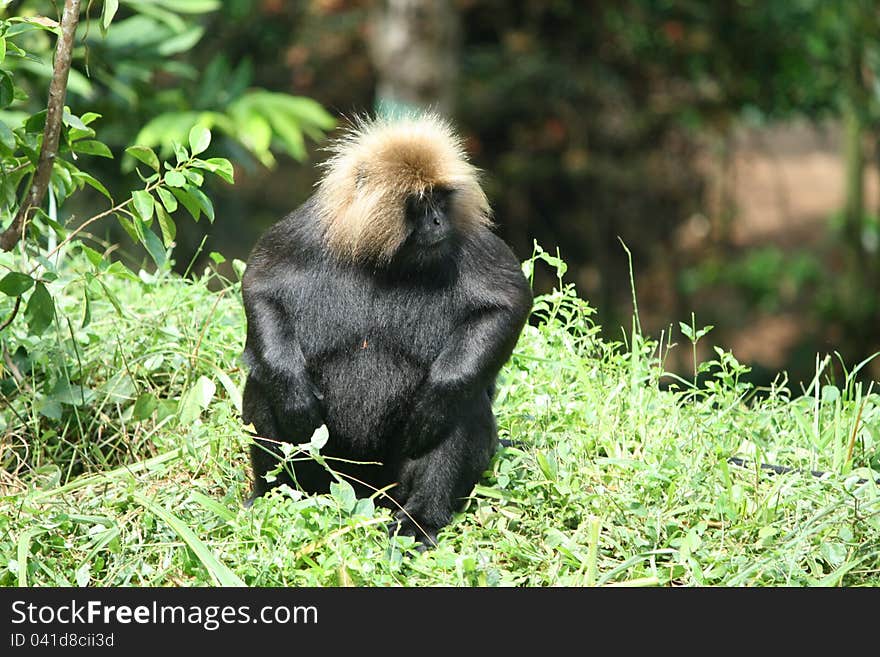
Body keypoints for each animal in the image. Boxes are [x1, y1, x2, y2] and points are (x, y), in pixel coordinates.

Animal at [237, 115, 532, 544]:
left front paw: (435, 397)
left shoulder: (465, 237)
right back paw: (275, 497)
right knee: (262, 381)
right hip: (331, 474)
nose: (438, 221)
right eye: (420, 203)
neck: (385, 259)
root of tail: (365, 490)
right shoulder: (309, 228)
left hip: (391, 484)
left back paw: (420, 521)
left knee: (461, 403)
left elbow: (509, 302)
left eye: (440, 200)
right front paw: (294, 395)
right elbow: (259, 283)